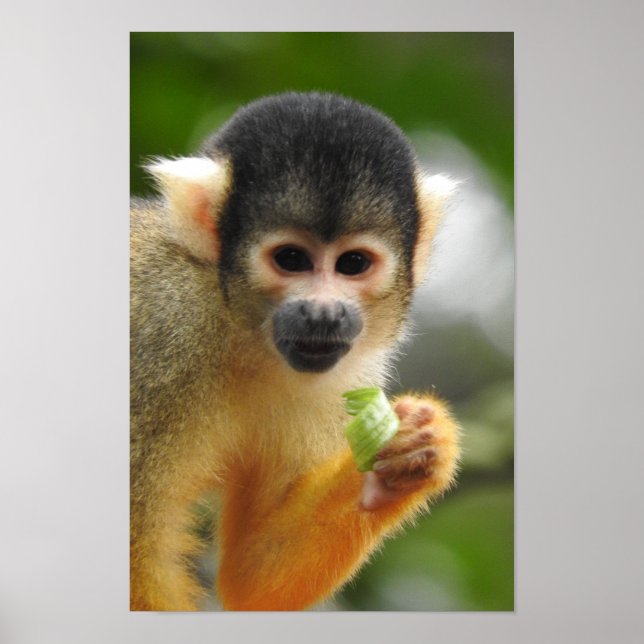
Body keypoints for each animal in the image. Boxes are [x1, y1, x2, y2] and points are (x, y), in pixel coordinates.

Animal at [130, 91, 461, 611]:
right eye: (290, 259)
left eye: (353, 264)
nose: (323, 314)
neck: (236, 333)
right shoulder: (163, 329)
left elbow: (254, 578)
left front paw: (415, 450)